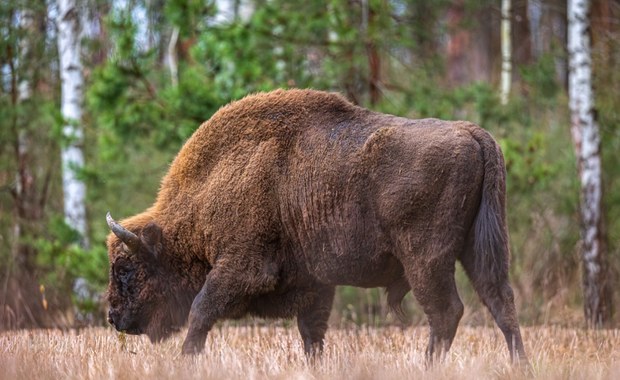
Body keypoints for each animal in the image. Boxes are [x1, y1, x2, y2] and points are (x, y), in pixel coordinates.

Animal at [106, 88, 528, 362]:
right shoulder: (314, 285)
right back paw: (519, 365)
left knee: (446, 312)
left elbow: (201, 310)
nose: (113, 316)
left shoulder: (241, 268)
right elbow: (312, 333)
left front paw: (186, 360)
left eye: (126, 268)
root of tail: (471, 132)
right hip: (480, 248)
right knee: (500, 302)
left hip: (426, 259)